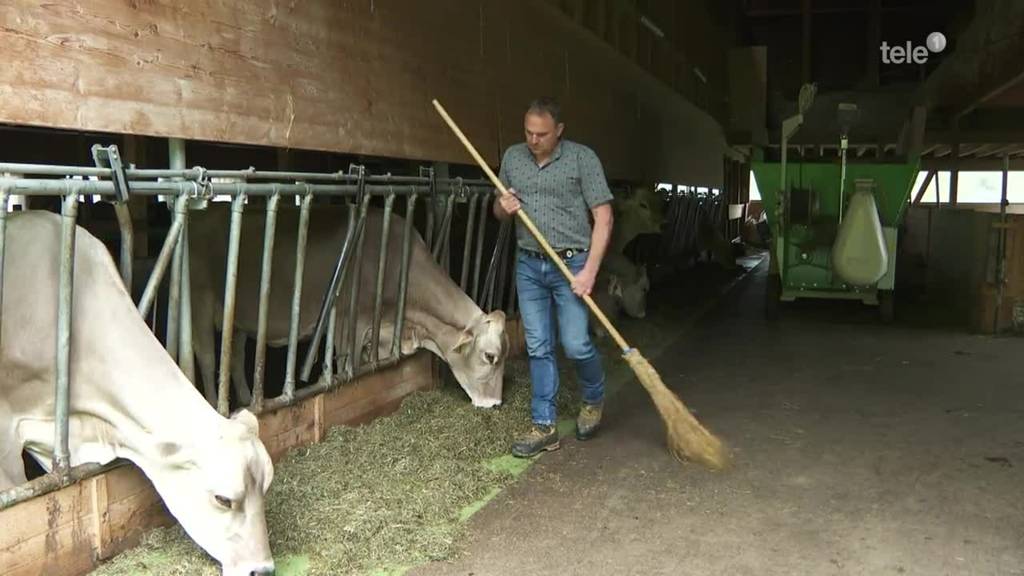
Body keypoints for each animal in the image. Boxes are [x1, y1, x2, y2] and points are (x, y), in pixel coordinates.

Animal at [188, 201, 507, 407]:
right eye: (490, 356)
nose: (495, 403)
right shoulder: (348, 323)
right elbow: (346, 367)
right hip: (200, 300)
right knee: (207, 357)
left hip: (237, 315)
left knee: (234, 355)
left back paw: (246, 400)